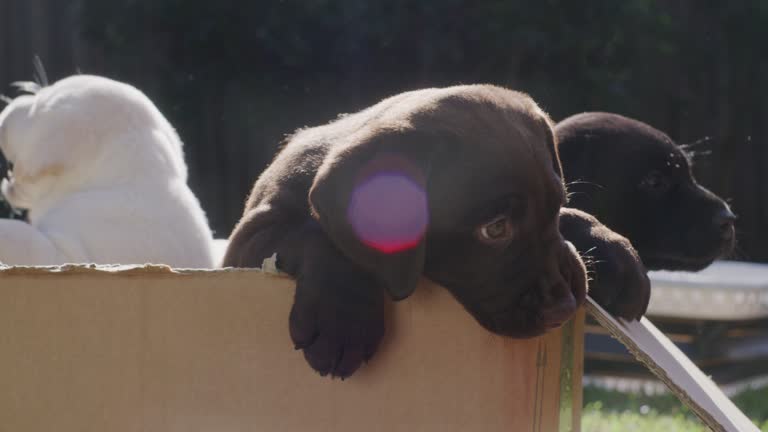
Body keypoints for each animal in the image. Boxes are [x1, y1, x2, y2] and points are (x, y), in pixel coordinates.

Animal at [224, 88, 648, 378]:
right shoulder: (246, 243)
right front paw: (340, 320)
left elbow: (575, 220)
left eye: (556, 205)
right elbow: (313, 235)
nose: (564, 307)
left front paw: (617, 254)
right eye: (494, 229)